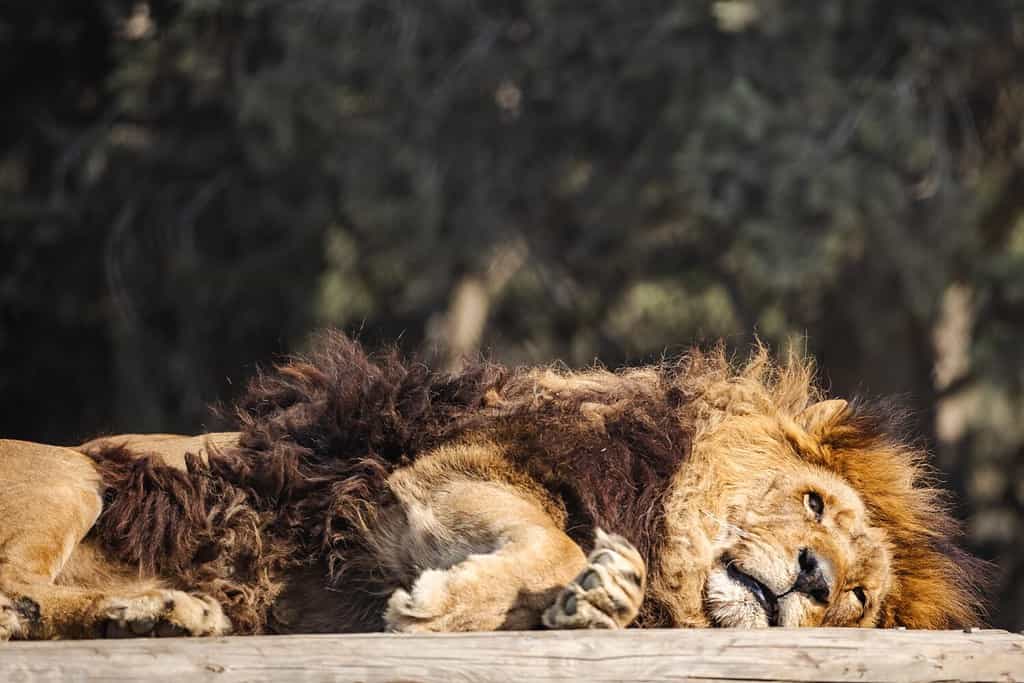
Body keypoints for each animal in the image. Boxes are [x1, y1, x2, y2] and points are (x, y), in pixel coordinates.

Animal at [0, 331, 985, 639]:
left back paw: (162, 612)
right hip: (77, 476)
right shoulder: (439, 470)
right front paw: (439, 607)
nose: (816, 579)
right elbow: (546, 535)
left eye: (857, 598)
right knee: (16, 591)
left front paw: (600, 596)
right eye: (815, 504)